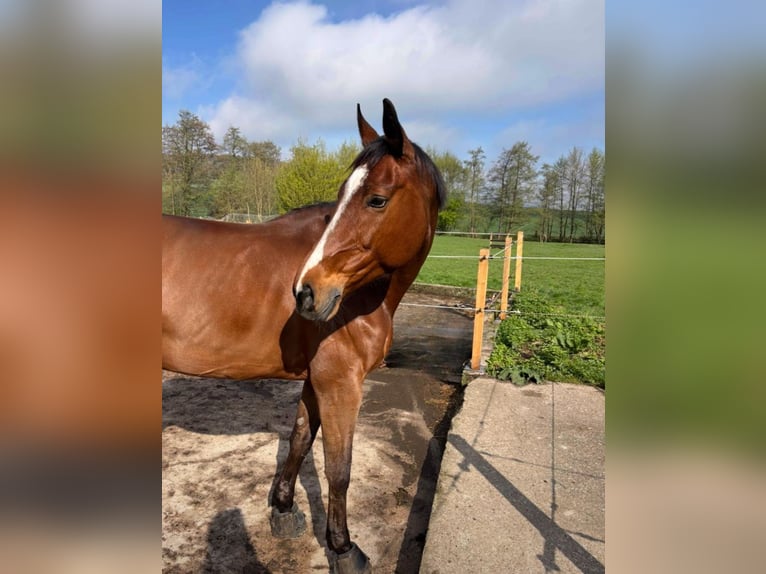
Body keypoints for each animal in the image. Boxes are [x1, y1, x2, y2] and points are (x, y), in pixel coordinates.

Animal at [162, 99, 445, 573]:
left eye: (376, 199)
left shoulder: (318, 380)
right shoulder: (340, 382)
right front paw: (343, 548)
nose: (307, 292)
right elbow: (339, 469)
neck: (361, 298)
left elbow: (299, 439)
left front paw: (283, 509)